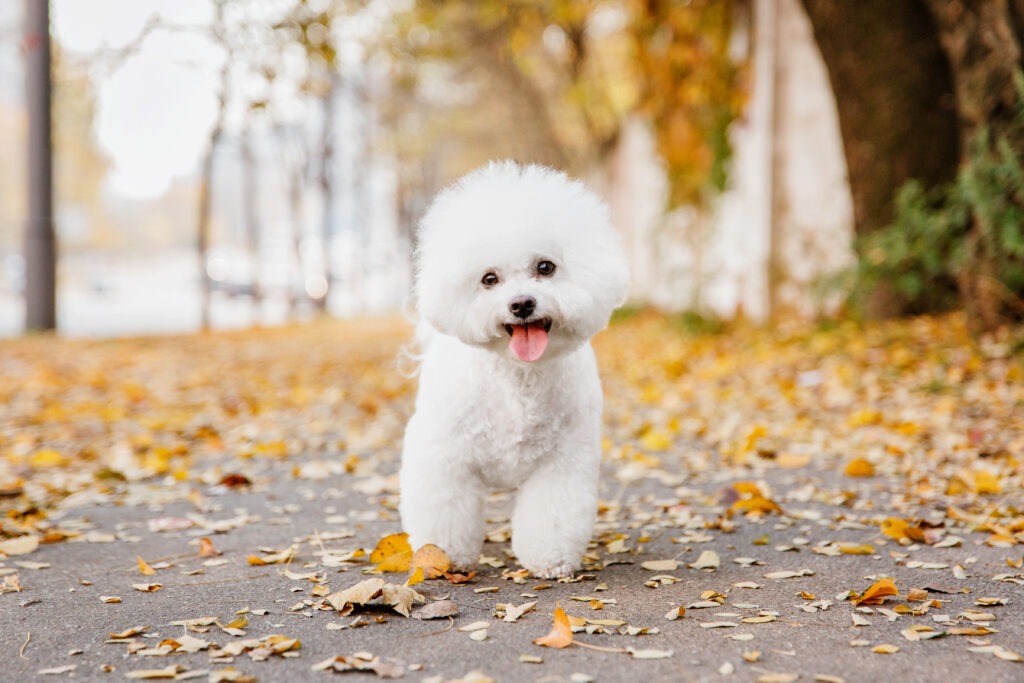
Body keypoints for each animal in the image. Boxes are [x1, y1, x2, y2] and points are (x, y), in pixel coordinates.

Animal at [401, 162, 630, 581]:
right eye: (489, 278)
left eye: (545, 267)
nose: (522, 304)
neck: (518, 379)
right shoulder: (444, 456)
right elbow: (444, 511)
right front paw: (441, 556)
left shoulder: (563, 461)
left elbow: (552, 515)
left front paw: (549, 559)